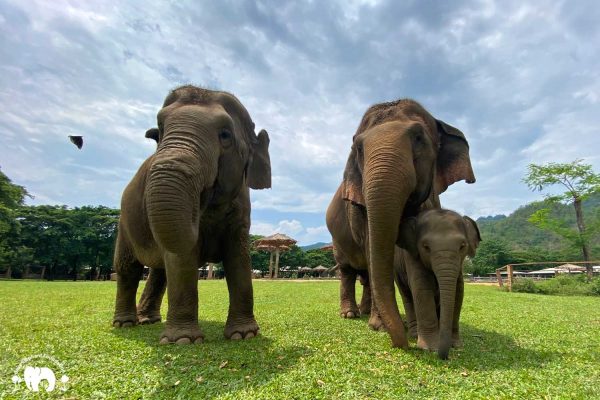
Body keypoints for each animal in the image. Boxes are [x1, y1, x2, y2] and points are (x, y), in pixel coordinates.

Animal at [112, 86, 272, 346]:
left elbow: (238, 257)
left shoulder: (241, 208)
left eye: (225, 135)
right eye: (158, 133)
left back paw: (148, 320)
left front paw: (244, 335)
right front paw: (183, 341)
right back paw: (125, 323)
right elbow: (182, 259)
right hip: (125, 223)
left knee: (159, 272)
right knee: (128, 268)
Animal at [326, 100, 476, 350]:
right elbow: (372, 246)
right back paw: (350, 315)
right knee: (347, 270)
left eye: (418, 137)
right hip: (337, 241)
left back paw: (365, 312)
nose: (403, 344)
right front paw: (380, 327)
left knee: (366, 275)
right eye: (358, 148)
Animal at [394, 209, 482, 360]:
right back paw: (414, 335)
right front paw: (430, 348)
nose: (444, 357)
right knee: (407, 296)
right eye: (426, 247)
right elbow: (422, 288)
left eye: (462, 246)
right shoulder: (412, 257)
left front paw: (456, 345)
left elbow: (459, 291)